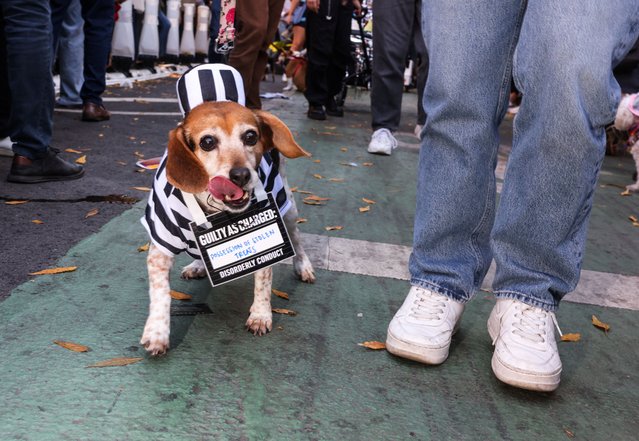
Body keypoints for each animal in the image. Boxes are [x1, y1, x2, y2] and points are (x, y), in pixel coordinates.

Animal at [142, 99, 318, 354]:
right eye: (207, 142)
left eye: (251, 136)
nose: (241, 175)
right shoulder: (161, 244)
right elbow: (160, 293)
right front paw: (157, 333)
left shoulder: (268, 229)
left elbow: (264, 280)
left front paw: (260, 315)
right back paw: (198, 265)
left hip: (287, 208)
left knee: (297, 238)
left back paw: (304, 267)